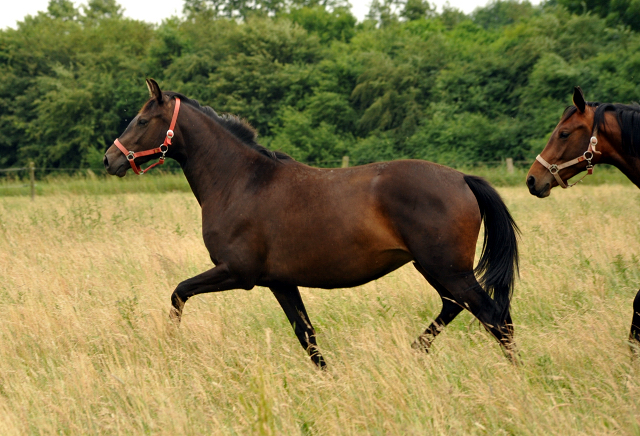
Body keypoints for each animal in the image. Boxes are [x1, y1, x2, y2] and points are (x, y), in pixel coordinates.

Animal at [101, 79, 520, 368]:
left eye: (142, 120)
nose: (110, 159)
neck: (240, 181)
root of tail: (462, 178)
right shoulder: (281, 281)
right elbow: (307, 335)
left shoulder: (237, 272)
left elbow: (178, 293)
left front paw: (170, 343)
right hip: (435, 268)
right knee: (462, 309)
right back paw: (416, 350)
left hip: (447, 269)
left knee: (493, 318)